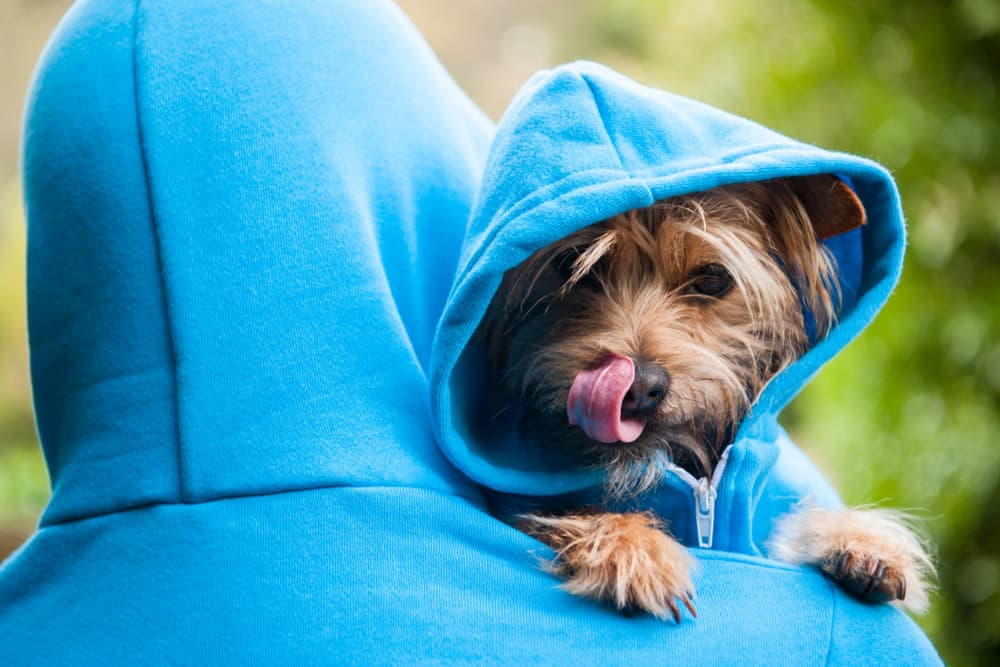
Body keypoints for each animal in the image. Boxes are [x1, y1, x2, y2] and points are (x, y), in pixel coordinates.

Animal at [480, 176, 932, 620]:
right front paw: (633, 546)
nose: (638, 386)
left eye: (713, 279)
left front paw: (857, 538)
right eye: (573, 264)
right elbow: (551, 511)